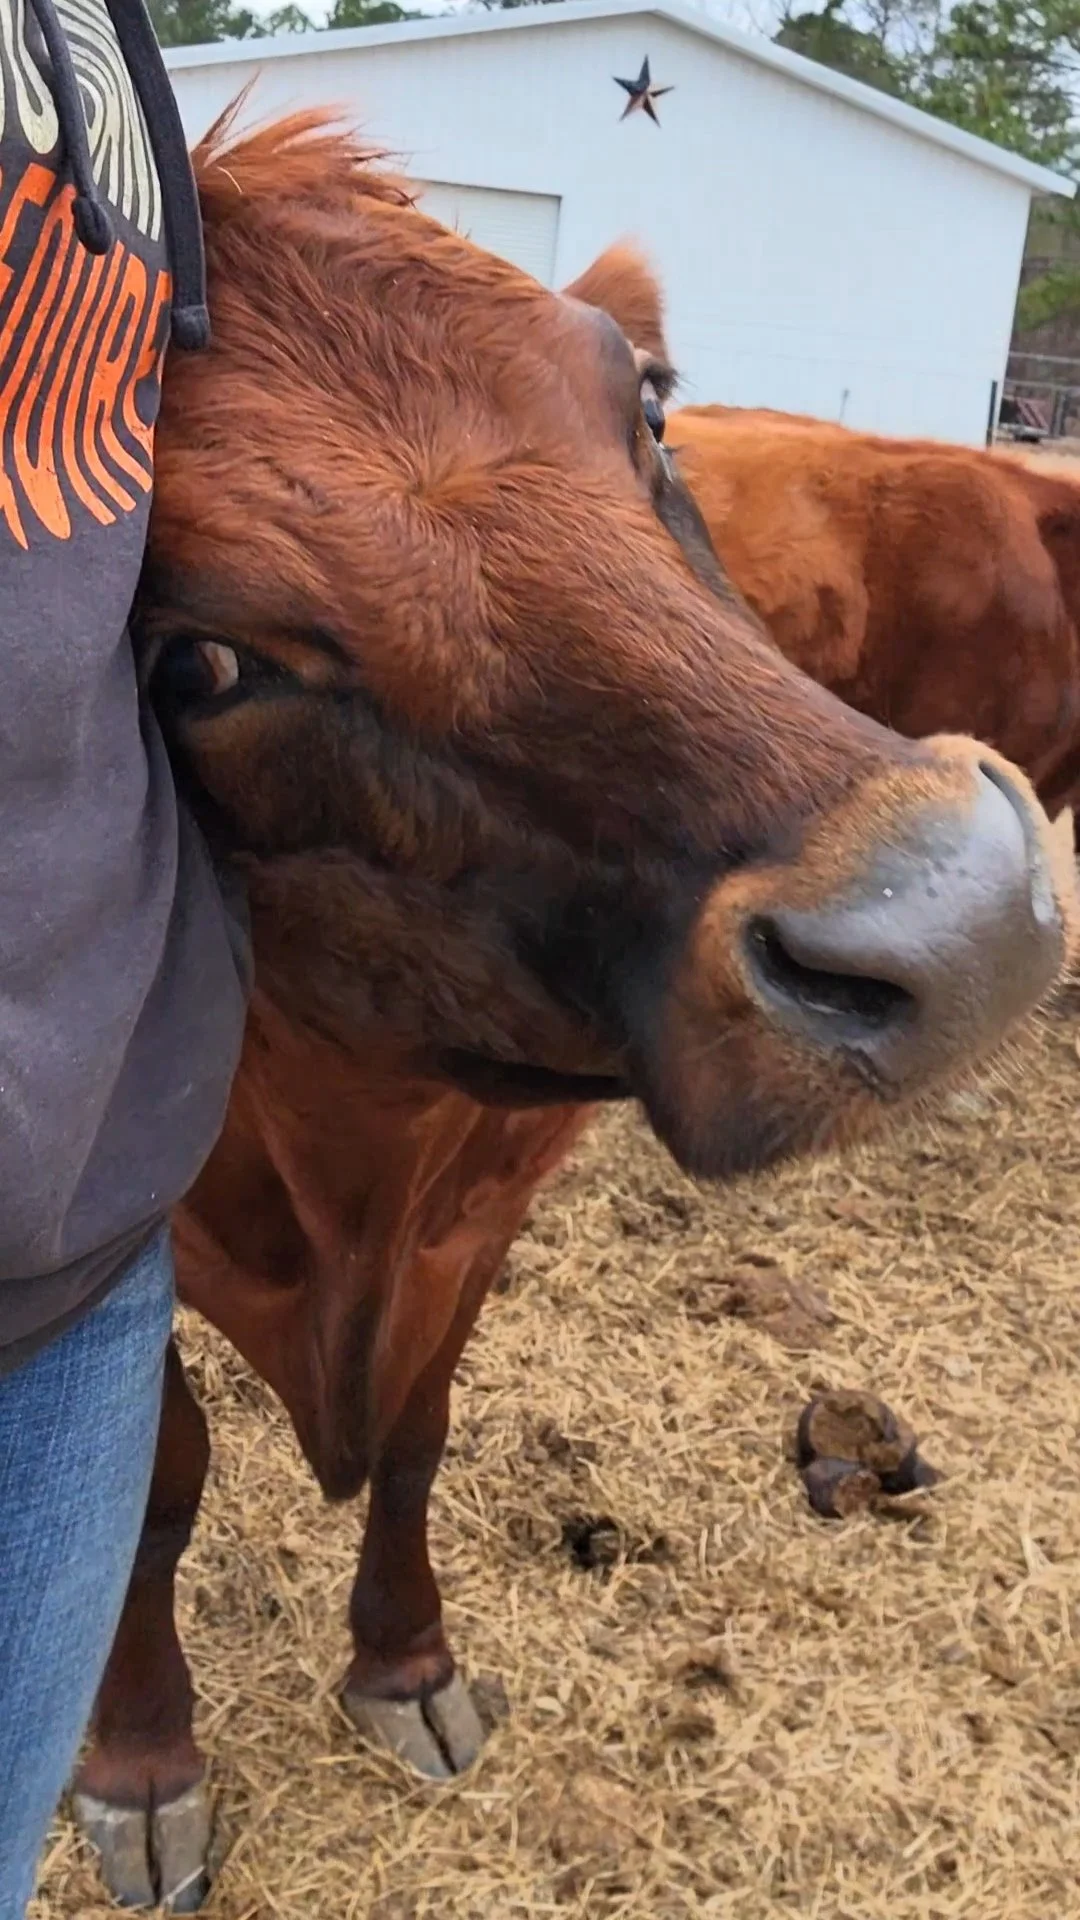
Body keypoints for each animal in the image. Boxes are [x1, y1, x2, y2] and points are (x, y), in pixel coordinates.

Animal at [69, 121, 1073, 1912]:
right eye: (197, 665)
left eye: (651, 410)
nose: (953, 919)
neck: (354, 1156)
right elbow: (150, 1487)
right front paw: (143, 1761)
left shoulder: (487, 1203)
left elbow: (417, 1436)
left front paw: (405, 1663)